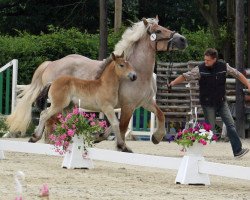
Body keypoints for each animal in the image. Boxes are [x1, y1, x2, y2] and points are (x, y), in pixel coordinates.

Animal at [5, 16, 188, 152]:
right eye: (158, 30)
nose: (183, 40)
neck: (139, 72)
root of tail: (51, 64)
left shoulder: (145, 102)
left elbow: (160, 115)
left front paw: (157, 137)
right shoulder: (128, 105)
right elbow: (121, 126)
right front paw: (121, 146)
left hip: (69, 105)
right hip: (59, 104)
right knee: (49, 121)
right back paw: (47, 141)